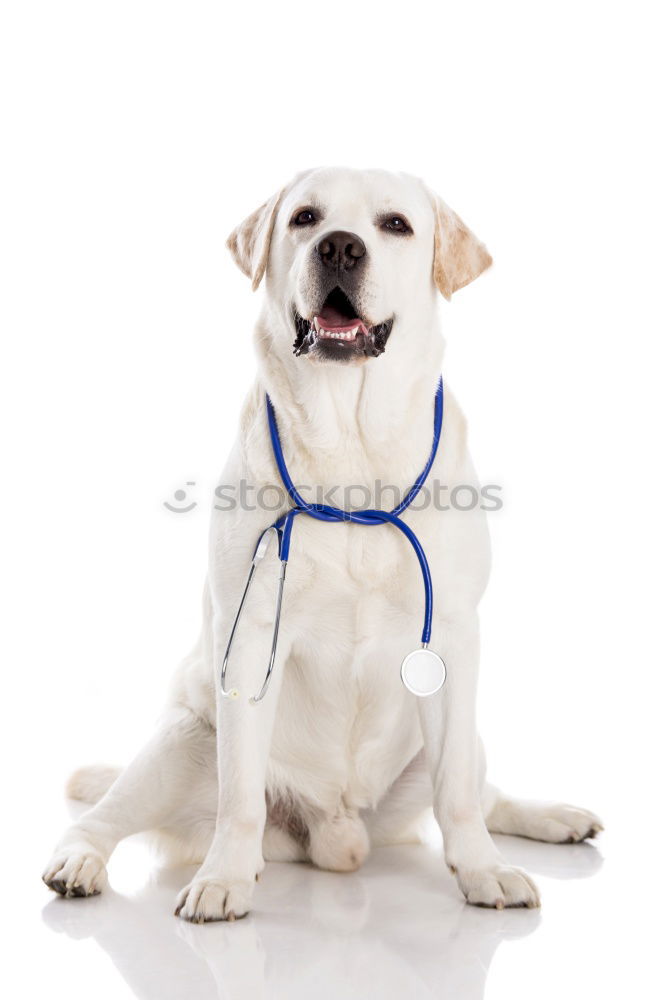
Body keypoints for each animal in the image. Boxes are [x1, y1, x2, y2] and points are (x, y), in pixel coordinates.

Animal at [42, 166, 600, 920]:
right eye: (305, 217)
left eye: (395, 225)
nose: (339, 246)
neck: (350, 447)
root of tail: (339, 836)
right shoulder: (250, 637)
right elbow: (239, 797)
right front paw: (223, 878)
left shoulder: (454, 639)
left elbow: (457, 794)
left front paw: (484, 871)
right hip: (183, 739)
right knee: (107, 814)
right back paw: (79, 861)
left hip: (452, 738)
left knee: (480, 793)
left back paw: (550, 817)